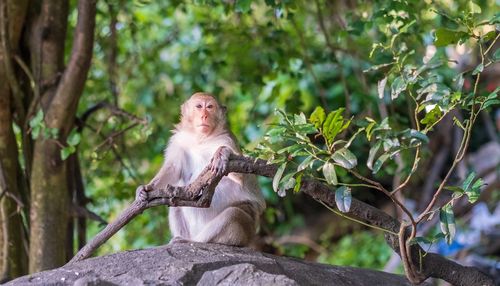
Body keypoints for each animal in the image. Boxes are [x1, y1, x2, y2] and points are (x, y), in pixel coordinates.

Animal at [137, 91, 266, 246]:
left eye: (210, 107)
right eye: (199, 106)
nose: (204, 115)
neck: (201, 138)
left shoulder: (226, 139)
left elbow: (241, 176)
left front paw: (222, 153)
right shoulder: (179, 140)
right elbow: (173, 169)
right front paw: (146, 188)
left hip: (247, 228)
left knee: (234, 213)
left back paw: (194, 241)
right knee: (175, 204)